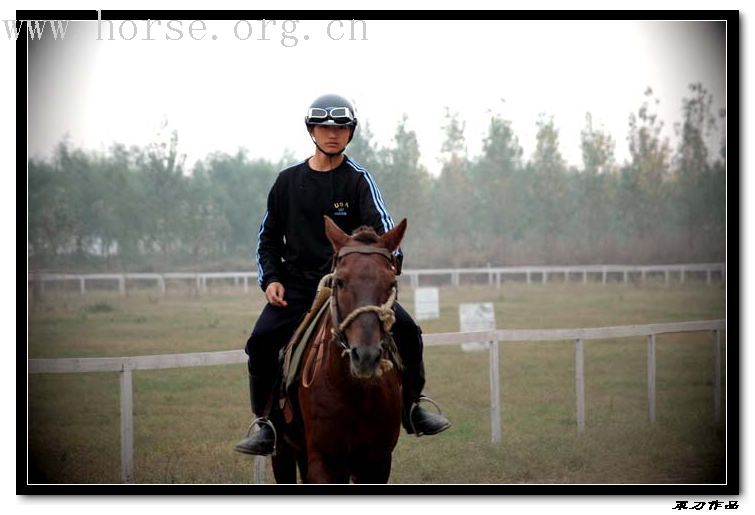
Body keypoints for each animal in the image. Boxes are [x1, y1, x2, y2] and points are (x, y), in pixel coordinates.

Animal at [274, 215, 408, 484]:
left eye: (391, 283)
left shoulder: (377, 463)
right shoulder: (324, 462)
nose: (365, 357)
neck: (354, 391)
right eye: (340, 281)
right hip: (282, 452)